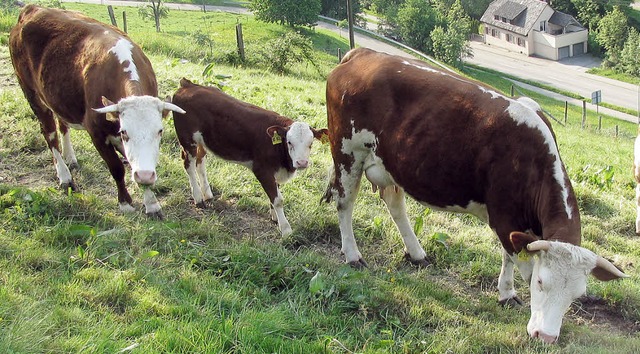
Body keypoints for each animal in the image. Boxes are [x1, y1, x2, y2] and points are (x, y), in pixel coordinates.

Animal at [9, 4, 185, 218]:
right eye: (124, 132)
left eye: (159, 131)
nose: (145, 175)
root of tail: (32, 8)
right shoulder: (96, 132)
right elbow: (117, 168)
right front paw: (125, 203)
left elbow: (134, 162)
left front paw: (151, 204)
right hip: (31, 93)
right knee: (49, 135)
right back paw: (65, 177)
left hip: (57, 97)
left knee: (62, 124)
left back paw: (71, 158)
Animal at [171, 79, 328, 236]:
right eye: (289, 142)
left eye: (311, 143)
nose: (301, 162)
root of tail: (188, 85)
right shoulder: (262, 170)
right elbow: (278, 199)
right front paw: (286, 229)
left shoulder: (274, 170)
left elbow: (274, 194)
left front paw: (275, 217)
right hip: (187, 140)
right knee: (188, 164)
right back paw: (198, 197)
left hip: (202, 141)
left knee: (200, 161)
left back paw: (207, 194)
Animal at [322, 47, 628, 342]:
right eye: (542, 282)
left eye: (576, 295)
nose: (547, 337)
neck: (532, 159)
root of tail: (363, 54)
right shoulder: (505, 217)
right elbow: (519, 262)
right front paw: (518, 303)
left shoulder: (514, 224)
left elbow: (508, 255)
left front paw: (506, 294)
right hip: (348, 151)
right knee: (345, 202)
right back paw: (353, 255)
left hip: (390, 164)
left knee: (395, 205)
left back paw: (417, 253)